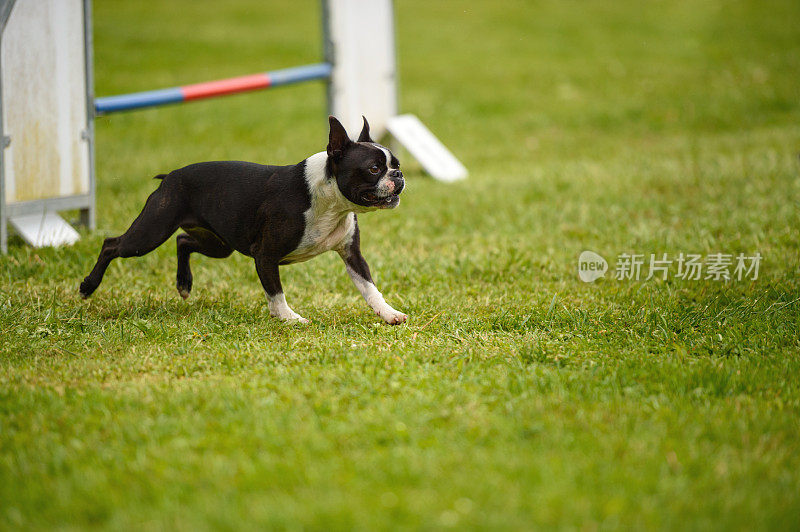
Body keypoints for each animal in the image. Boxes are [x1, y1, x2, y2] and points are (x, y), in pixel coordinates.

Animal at [77, 116, 406, 324]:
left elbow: (369, 288)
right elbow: (276, 292)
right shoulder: (266, 255)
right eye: (374, 169)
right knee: (111, 245)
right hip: (151, 232)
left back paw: (184, 283)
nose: (399, 174)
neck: (330, 202)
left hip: (218, 244)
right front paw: (289, 318)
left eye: (396, 164)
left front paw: (388, 313)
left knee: (183, 241)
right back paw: (87, 286)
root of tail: (170, 176)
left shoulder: (352, 254)